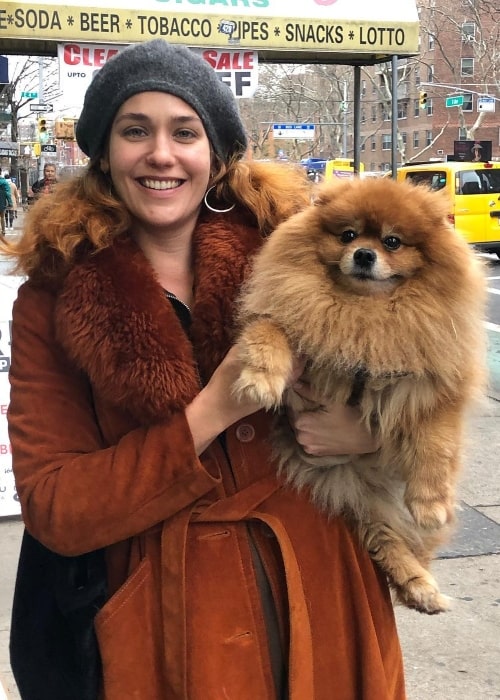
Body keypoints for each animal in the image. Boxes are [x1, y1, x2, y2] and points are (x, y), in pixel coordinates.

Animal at [234, 175, 488, 612]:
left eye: (393, 242)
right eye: (348, 235)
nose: (365, 254)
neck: (364, 315)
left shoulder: (435, 387)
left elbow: (436, 444)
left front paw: (431, 504)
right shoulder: (294, 324)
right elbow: (268, 331)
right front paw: (260, 377)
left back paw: (422, 587)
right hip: (357, 496)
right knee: (383, 537)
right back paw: (416, 585)